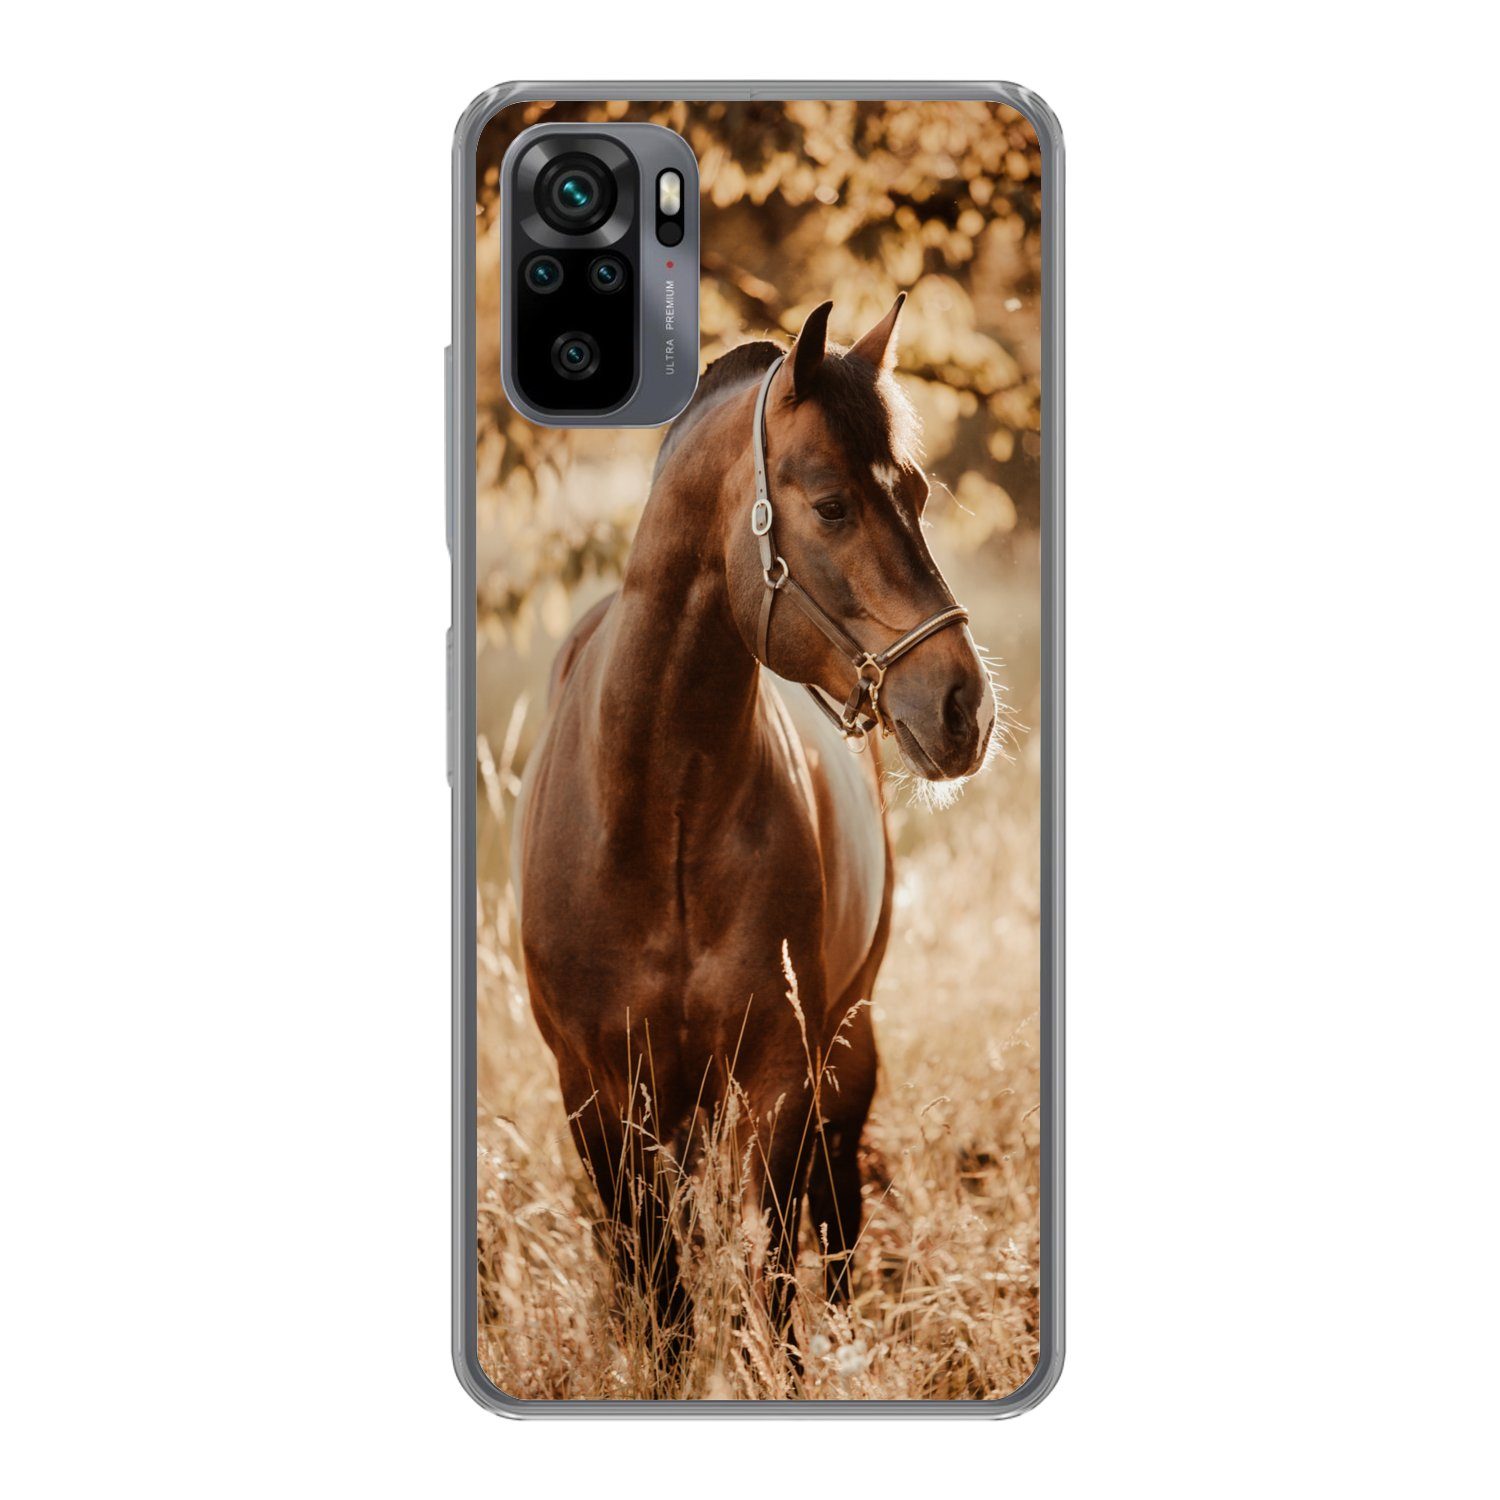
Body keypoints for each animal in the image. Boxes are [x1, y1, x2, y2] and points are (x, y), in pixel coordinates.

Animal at [515, 294, 996, 1365]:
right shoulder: (599, 1095)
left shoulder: (779, 1078)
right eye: (832, 506)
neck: (658, 816)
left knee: (837, 1220)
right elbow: (660, 1299)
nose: (965, 708)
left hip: (844, 1053)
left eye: (918, 490)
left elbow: (774, 1282)